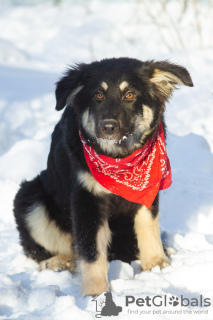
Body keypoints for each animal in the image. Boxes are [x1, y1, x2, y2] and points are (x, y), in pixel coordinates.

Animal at [13, 57, 193, 296]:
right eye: (98, 95)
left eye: (130, 95)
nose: (108, 127)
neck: (120, 161)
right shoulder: (87, 199)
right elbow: (91, 251)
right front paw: (95, 293)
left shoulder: (148, 191)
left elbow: (148, 226)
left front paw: (156, 264)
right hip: (29, 196)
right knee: (56, 249)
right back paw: (59, 262)